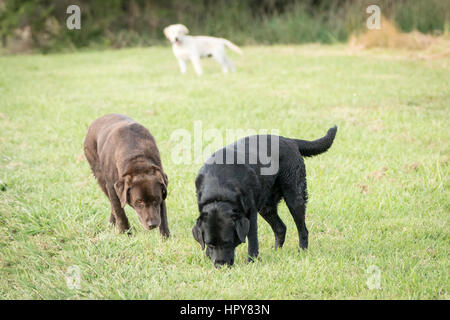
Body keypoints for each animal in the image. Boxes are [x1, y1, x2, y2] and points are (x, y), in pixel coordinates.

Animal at [192, 126, 336, 266]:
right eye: (210, 244)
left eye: (228, 242)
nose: (220, 265)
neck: (219, 191)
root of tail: (289, 140)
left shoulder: (251, 213)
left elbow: (252, 239)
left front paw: (252, 261)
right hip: (266, 207)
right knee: (281, 228)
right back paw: (277, 252)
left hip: (295, 197)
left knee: (303, 230)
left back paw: (302, 251)